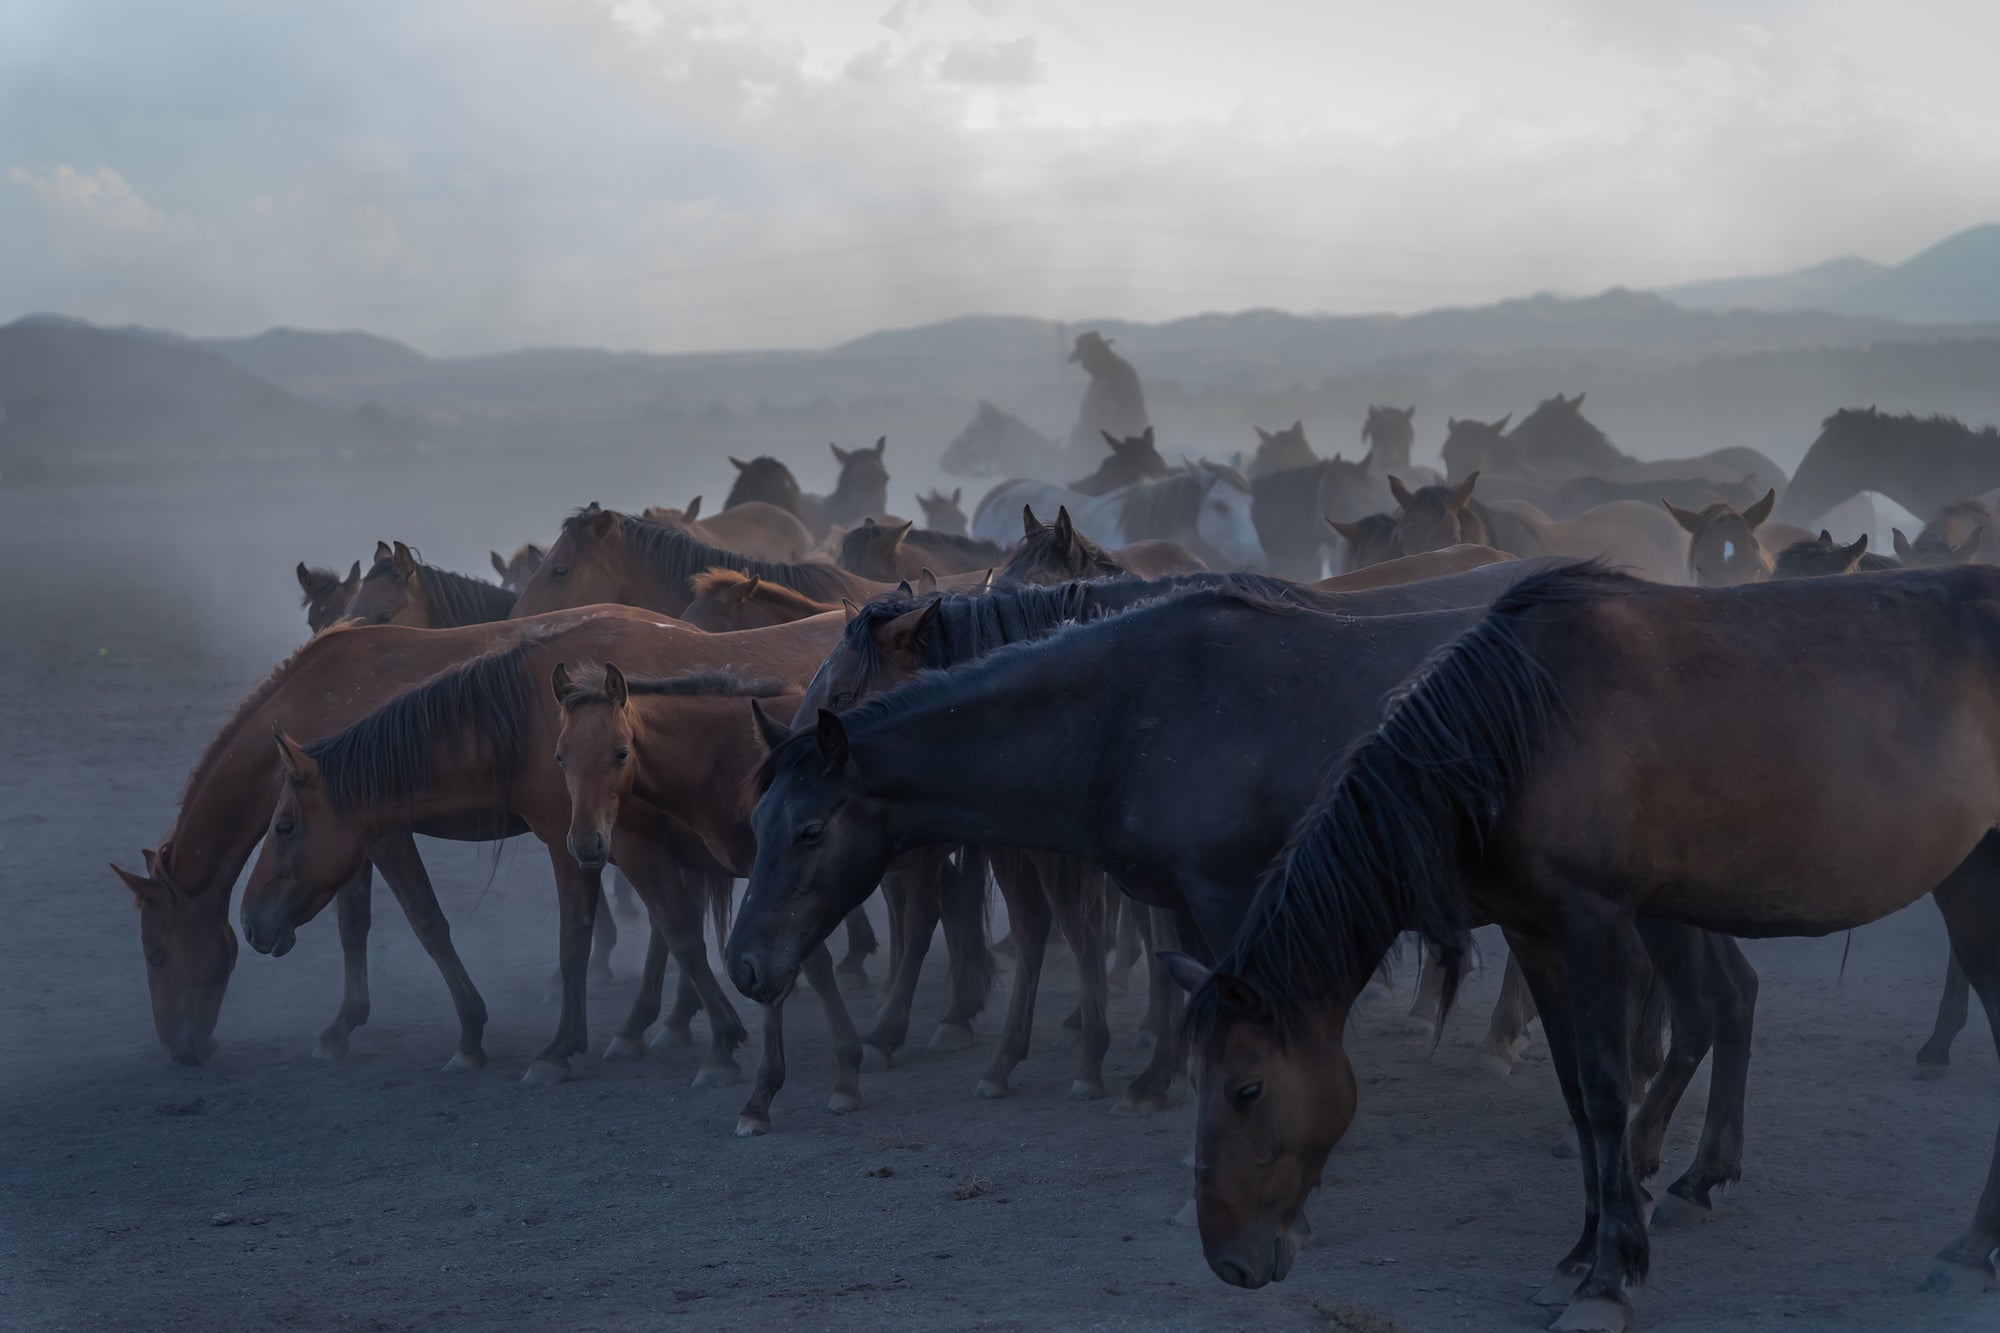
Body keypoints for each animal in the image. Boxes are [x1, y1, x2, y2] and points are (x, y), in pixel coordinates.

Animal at [728, 578, 1757, 1239]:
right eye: (760, 820)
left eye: (810, 830)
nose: (744, 964)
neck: (1127, 711)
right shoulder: (1182, 909)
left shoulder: (1233, 903)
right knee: (1727, 998)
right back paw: (1687, 1168)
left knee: (1711, 1004)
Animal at [1176, 564, 2000, 1326]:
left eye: (1247, 1088)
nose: (1226, 1261)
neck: (1521, 728)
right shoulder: (1537, 933)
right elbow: (1575, 1094)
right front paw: (1577, 1257)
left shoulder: (1597, 924)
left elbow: (1606, 1094)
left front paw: (1610, 1280)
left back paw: (1966, 1251)